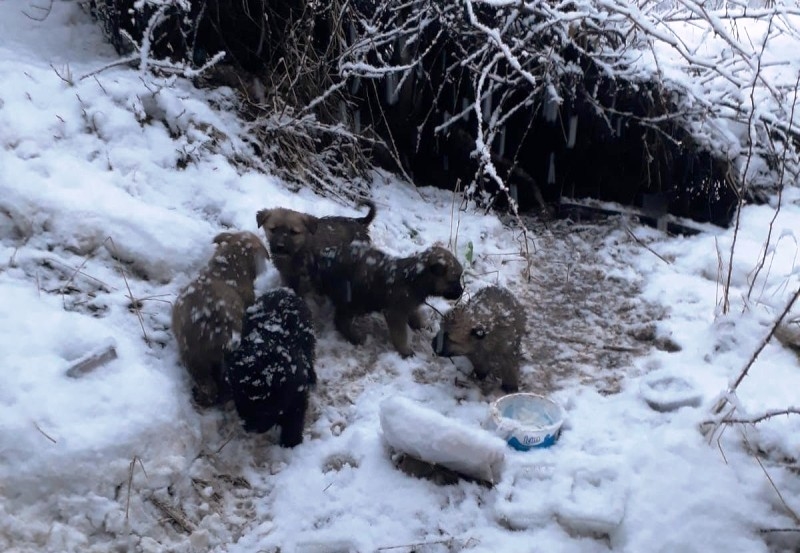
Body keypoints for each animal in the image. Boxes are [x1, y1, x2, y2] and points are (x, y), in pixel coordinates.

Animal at [223, 286, 318, 446]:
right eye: (241, 402)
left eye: (264, 406)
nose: (252, 428)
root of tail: (283, 290)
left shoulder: (297, 393)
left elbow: (294, 420)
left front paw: (290, 443)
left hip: (308, 340)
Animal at [312, 243, 462, 358]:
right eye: (453, 280)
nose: (461, 292)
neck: (414, 278)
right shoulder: (395, 313)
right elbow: (400, 334)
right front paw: (405, 350)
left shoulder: (409, 305)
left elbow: (415, 315)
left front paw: (422, 325)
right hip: (354, 299)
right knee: (340, 319)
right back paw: (354, 337)